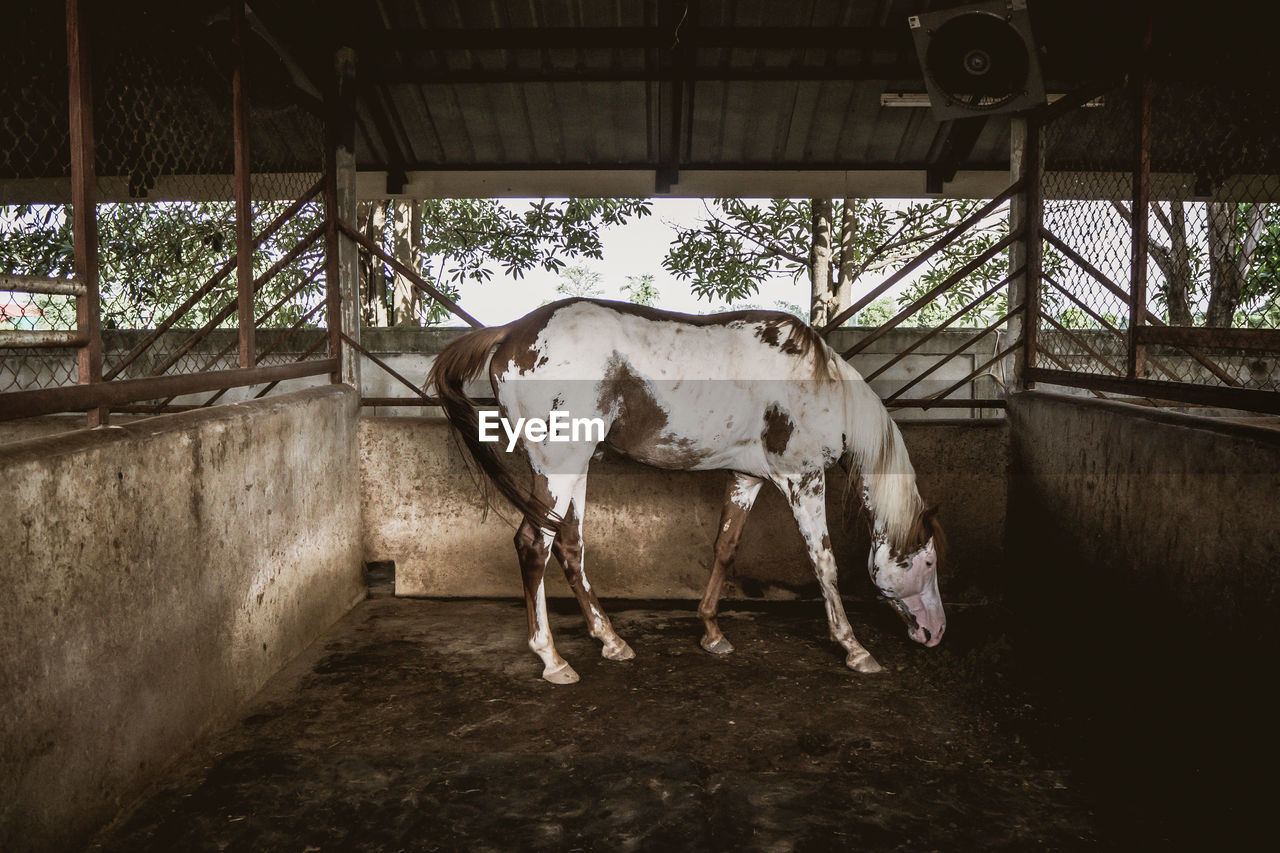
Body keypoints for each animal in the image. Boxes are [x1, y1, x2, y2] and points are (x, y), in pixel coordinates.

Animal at [435, 295, 947, 681]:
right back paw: (552, 659)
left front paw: (712, 633)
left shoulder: (747, 477)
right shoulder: (802, 478)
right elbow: (825, 563)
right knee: (533, 545)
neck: (818, 383)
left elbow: (725, 547)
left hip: (574, 468)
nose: (936, 633)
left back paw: (611, 640)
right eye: (927, 561)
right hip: (557, 466)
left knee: (569, 545)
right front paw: (854, 647)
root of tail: (511, 332)